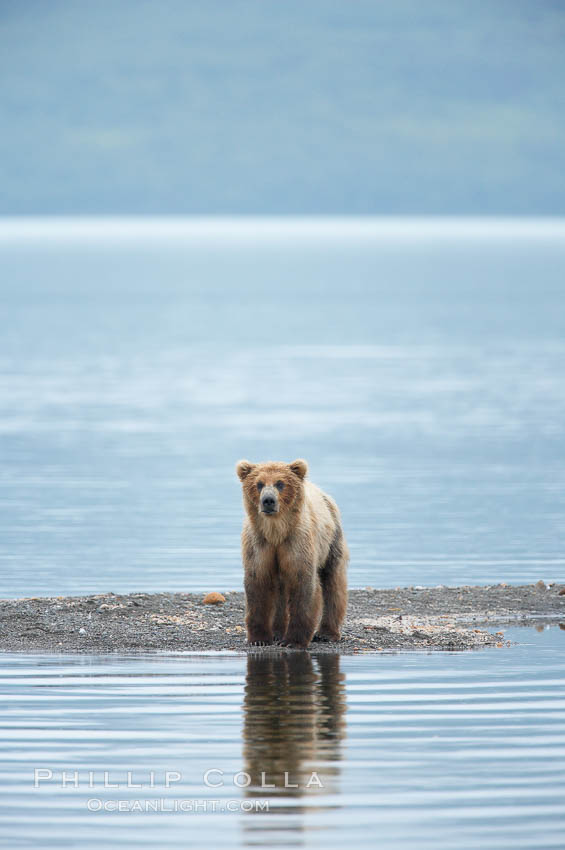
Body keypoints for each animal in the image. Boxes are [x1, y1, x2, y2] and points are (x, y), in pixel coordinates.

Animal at [235, 458, 349, 649]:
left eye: (280, 483)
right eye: (259, 484)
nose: (268, 500)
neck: (276, 532)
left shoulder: (297, 543)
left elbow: (303, 585)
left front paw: (293, 641)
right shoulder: (259, 545)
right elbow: (258, 585)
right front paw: (259, 639)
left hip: (332, 541)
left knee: (333, 583)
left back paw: (327, 633)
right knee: (280, 591)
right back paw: (277, 633)